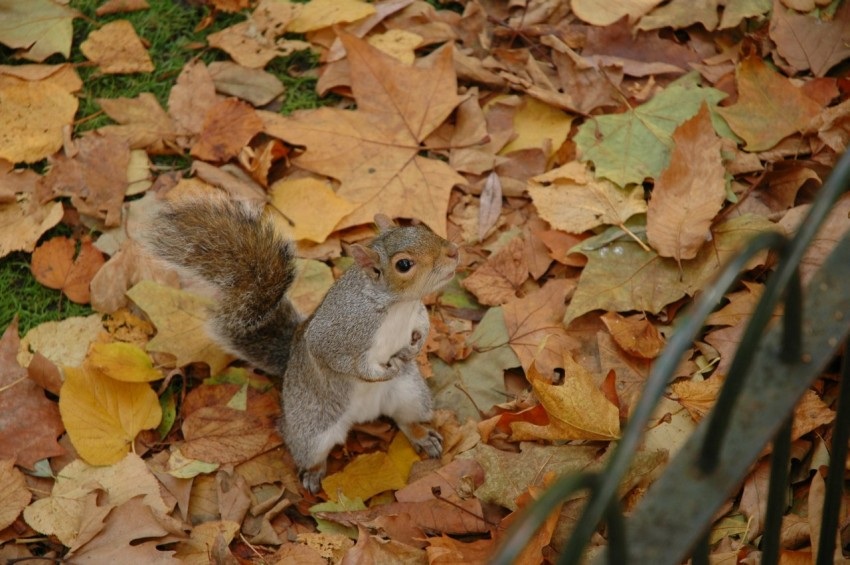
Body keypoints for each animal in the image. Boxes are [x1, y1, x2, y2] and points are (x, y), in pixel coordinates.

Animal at [147, 195, 464, 494]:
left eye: (418, 228)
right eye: (404, 265)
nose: (453, 251)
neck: (396, 305)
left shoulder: (416, 313)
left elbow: (423, 323)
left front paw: (416, 346)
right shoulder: (337, 331)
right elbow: (338, 358)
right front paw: (378, 372)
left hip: (412, 395)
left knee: (406, 418)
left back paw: (423, 436)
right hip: (311, 432)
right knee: (308, 451)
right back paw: (313, 473)